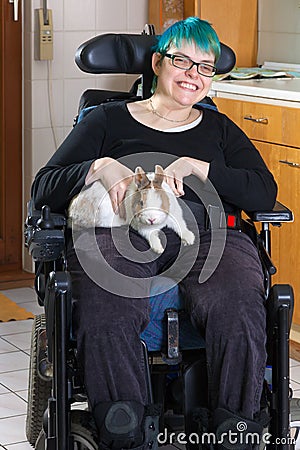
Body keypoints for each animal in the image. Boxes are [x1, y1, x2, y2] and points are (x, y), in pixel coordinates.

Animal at [67, 164, 195, 253]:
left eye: (162, 202)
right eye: (141, 202)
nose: (151, 219)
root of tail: (72, 213)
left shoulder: (175, 216)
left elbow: (181, 226)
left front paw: (189, 239)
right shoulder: (144, 228)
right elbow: (152, 236)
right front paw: (159, 249)